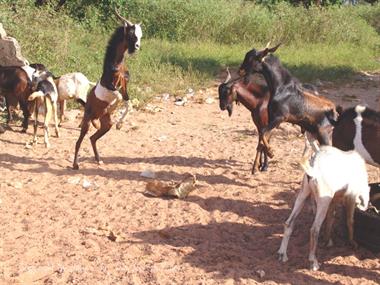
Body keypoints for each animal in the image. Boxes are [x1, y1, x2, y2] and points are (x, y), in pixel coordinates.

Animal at [72, 8, 142, 169]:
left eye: (140, 35)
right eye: (131, 33)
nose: (137, 47)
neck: (115, 64)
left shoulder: (124, 85)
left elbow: (128, 102)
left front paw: (120, 124)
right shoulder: (111, 86)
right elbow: (119, 98)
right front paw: (114, 112)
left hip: (106, 125)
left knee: (92, 138)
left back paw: (98, 159)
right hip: (86, 121)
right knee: (79, 141)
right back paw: (75, 164)